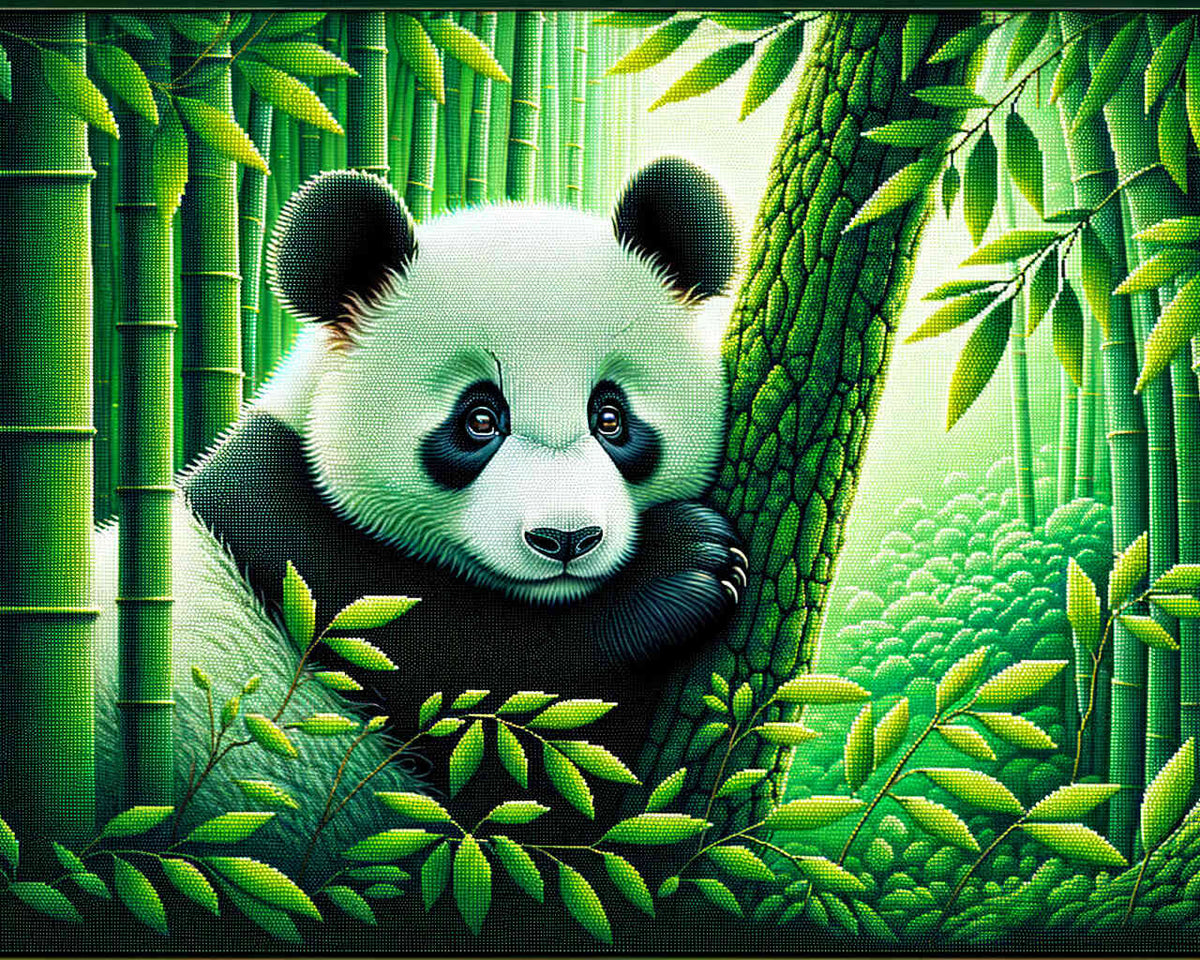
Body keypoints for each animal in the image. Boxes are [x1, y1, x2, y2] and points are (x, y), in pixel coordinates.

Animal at [93, 157, 745, 868]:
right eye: (479, 418)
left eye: (611, 417)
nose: (567, 538)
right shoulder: (294, 551)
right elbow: (478, 685)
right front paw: (684, 566)